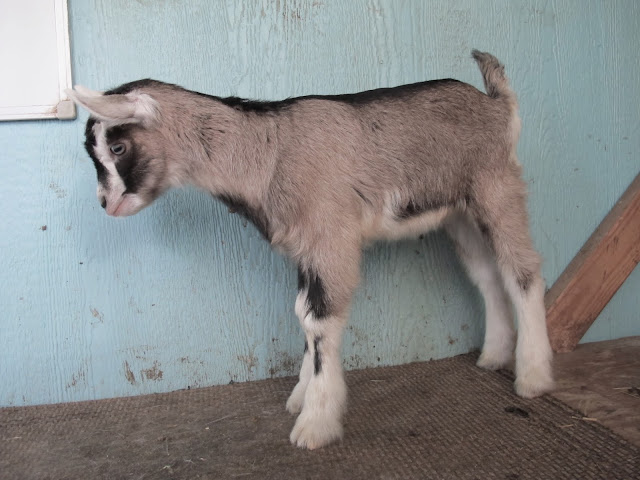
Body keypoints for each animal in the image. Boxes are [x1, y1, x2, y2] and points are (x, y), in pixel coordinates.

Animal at [67, 50, 553, 450]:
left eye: (118, 146)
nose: (107, 204)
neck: (268, 153)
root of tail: (498, 104)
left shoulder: (330, 239)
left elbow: (320, 321)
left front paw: (316, 423)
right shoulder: (304, 249)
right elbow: (302, 313)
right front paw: (302, 397)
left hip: (496, 188)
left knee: (523, 272)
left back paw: (533, 376)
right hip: (458, 214)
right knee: (488, 276)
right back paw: (494, 355)